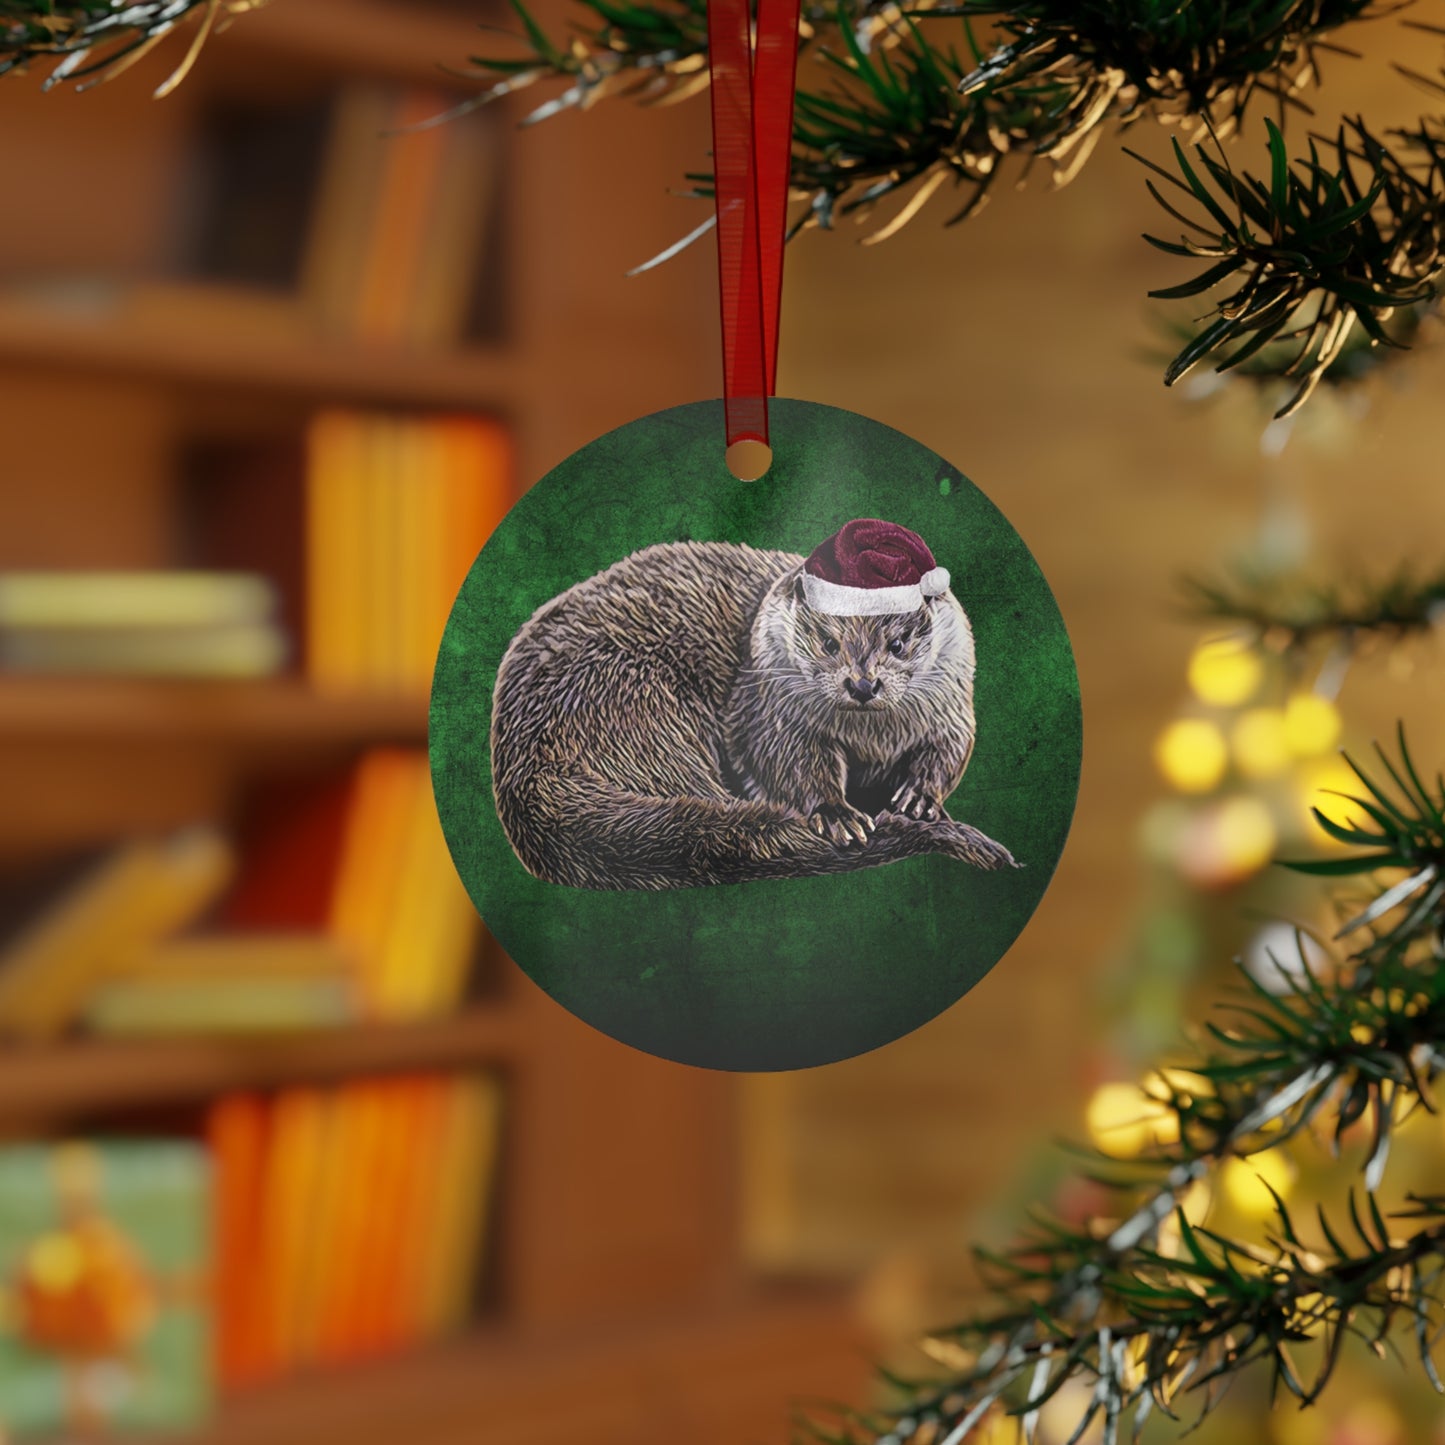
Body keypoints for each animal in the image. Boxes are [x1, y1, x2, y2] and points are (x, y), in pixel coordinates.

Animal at [489, 533, 1016, 891]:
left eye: (898, 642)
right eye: (828, 642)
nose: (863, 684)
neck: (873, 741)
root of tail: (525, 754)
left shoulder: (952, 707)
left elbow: (950, 749)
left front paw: (921, 797)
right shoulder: (767, 712)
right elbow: (786, 762)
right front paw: (837, 815)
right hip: (639, 706)